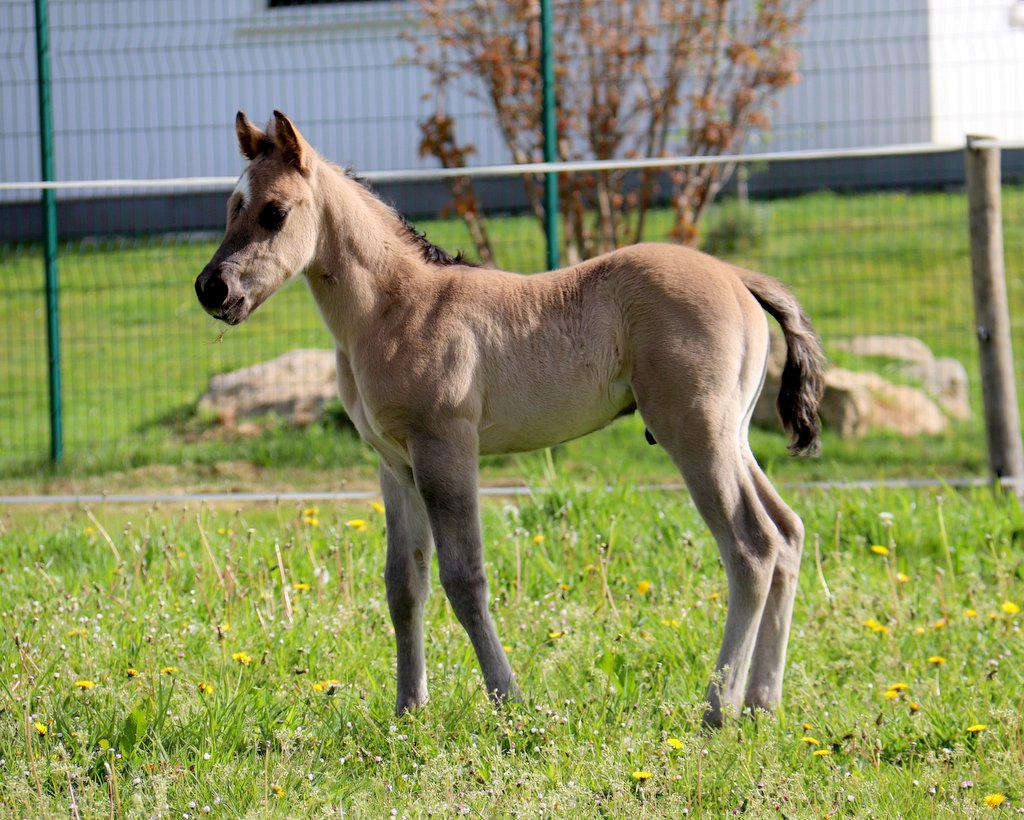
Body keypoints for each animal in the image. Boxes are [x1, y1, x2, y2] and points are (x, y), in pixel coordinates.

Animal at [195, 111, 825, 726]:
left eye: (275, 213)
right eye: (230, 206)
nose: (211, 288)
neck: (398, 308)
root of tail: (737, 276)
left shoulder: (445, 449)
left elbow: (463, 578)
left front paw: (508, 700)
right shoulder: (394, 465)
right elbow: (404, 584)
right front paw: (408, 709)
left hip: (694, 435)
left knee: (752, 547)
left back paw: (719, 709)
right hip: (730, 436)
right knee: (788, 533)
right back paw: (763, 703)